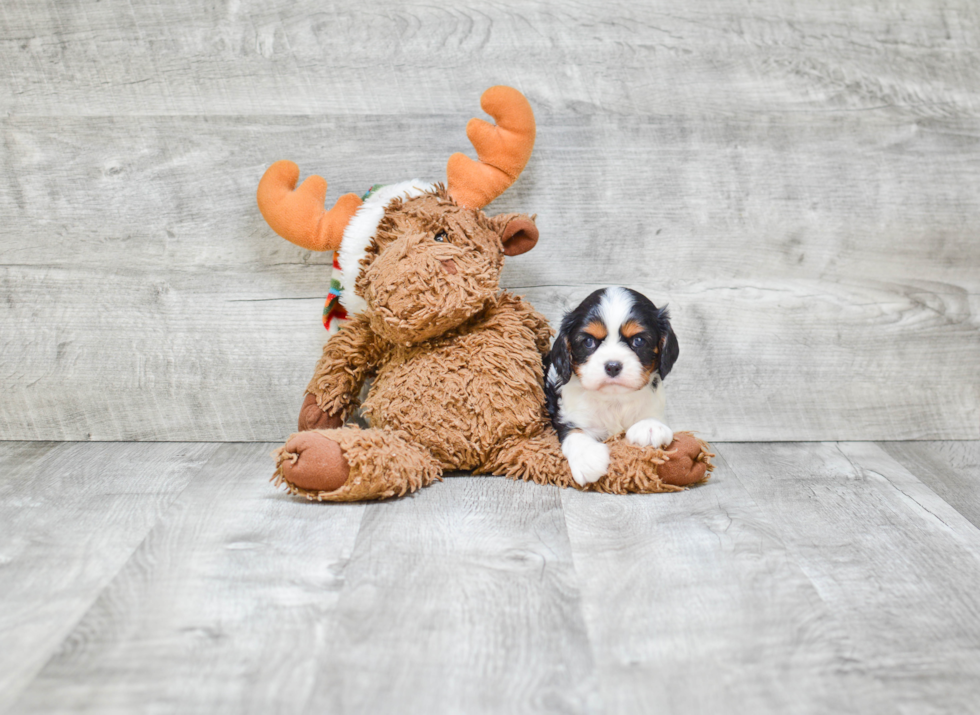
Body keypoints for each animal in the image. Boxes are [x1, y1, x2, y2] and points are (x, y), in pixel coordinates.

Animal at [548, 286, 676, 486]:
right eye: (588, 342)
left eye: (638, 341)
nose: (613, 366)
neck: (614, 398)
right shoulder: (569, 415)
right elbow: (574, 431)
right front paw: (587, 458)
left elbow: (653, 415)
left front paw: (649, 426)